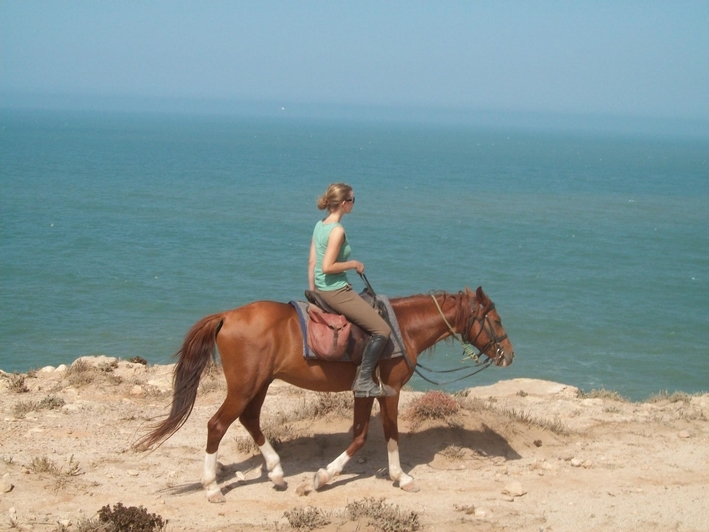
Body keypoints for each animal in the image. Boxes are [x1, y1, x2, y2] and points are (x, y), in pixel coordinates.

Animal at [137, 284, 516, 500]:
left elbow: (364, 434)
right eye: (496, 321)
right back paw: (213, 487)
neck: (400, 328)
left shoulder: (367, 392)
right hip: (245, 386)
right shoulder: (388, 390)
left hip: (259, 384)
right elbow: (384, 434)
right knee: (217, 425)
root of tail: (227, 316)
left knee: (250, 420)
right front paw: (329, 478)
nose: (509, 355)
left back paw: (276, 472)